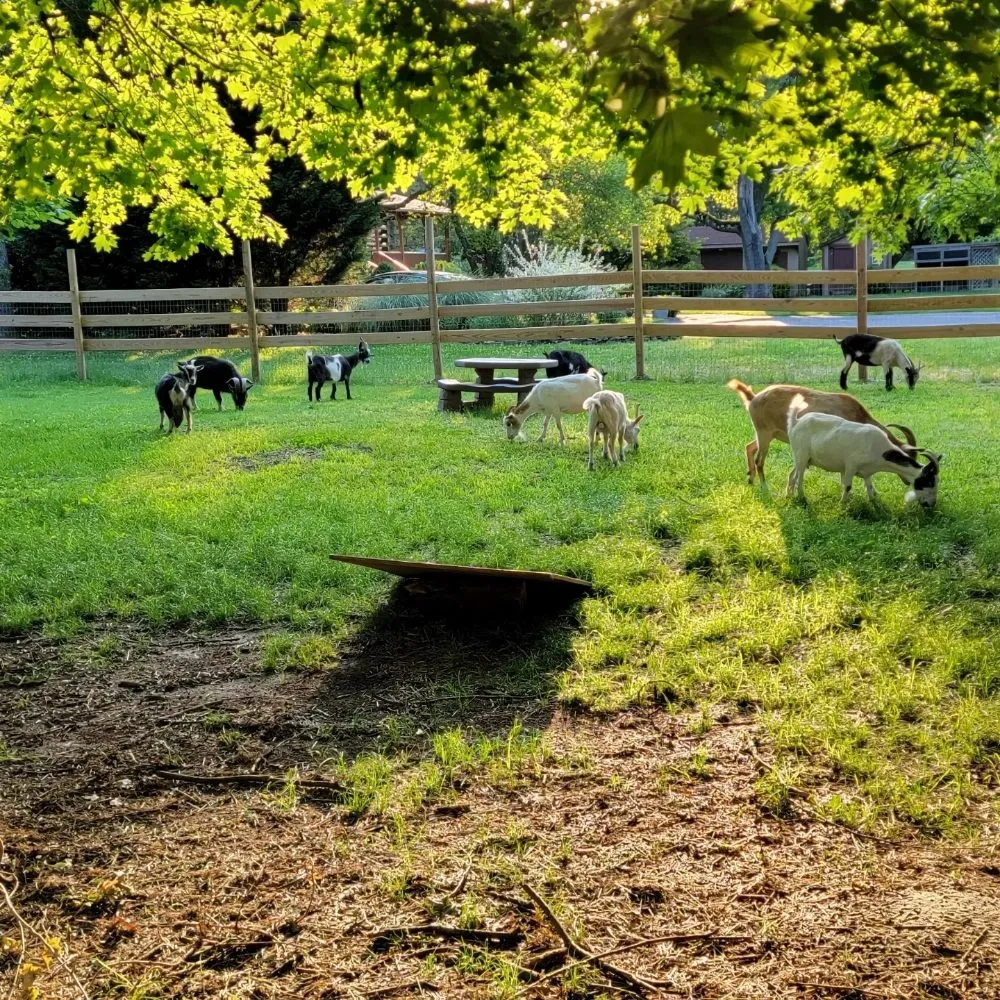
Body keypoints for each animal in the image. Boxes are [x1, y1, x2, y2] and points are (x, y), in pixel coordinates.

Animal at [728, 380, 917, 486]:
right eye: (906, 457)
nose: (909, 482)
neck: (857, 414)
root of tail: (753, 398)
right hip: (764, 433)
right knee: (759, 460)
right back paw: (764, 487)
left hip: (765, 433)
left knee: (749, 447)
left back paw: (750, 479)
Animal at [786, 395, 942, 507]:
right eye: (929, 481)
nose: (931, 504)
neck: (880, 451)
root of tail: (796, 422)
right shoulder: (850, 465)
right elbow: (847, 486)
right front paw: (842, 505)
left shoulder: (867, 472)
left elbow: (869, 487)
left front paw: (874, 503)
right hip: (802, 456)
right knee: (800, 477)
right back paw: (801, 497)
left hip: (802, 458)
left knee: (793, 474)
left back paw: (788, 496)